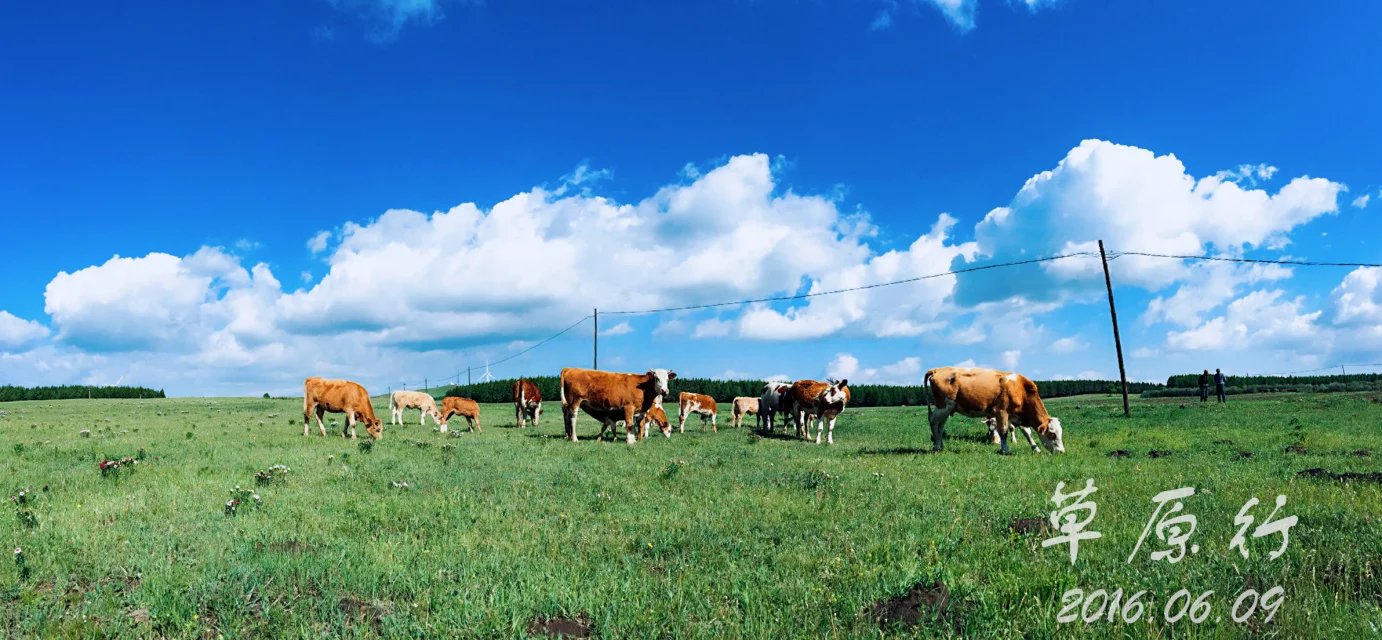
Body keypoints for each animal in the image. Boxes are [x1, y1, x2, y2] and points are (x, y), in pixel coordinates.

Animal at [928, 364, 1066, 456]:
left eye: (1060, 433)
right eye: (1052, 434)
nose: (1062, 452)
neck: (1021, 389)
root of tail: (937, 370)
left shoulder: (1016, 415)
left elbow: (1027, 432)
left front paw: (1035, 448)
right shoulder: (1001, 411)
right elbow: (1003, 431)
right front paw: (1005, 449)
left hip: (947, 410)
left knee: (940, 426)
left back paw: (940, 445)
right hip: (942, 406)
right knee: (933, 421)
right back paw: (936, 446)